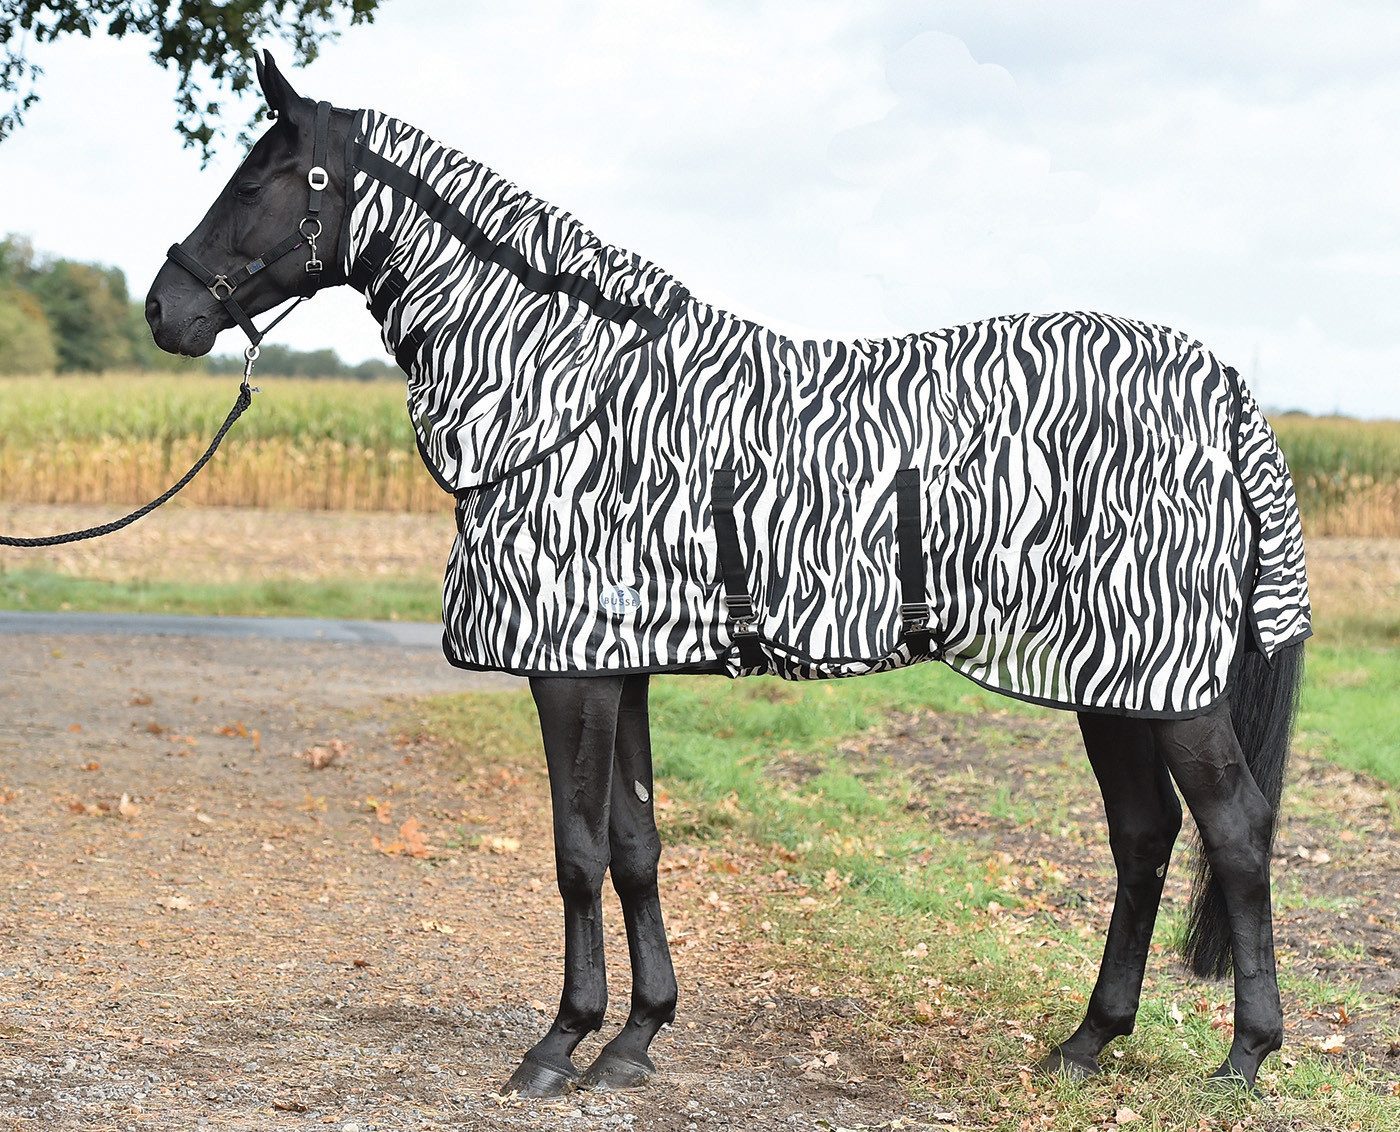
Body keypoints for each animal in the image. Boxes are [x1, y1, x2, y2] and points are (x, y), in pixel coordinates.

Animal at [144, 51, 1311, 1099]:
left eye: (253, 181)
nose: (165, 311)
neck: (565, 392)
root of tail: (1222, 391)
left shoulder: (568, 670)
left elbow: (575, 852)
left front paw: (556, 1046)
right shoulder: (619, 666)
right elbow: (635, 844)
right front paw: (633, 1038)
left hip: (1167, 684)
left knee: (1235, 832)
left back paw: (1244, 1056)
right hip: (1108, 680)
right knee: (1144, 836)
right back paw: (1084, 1043)